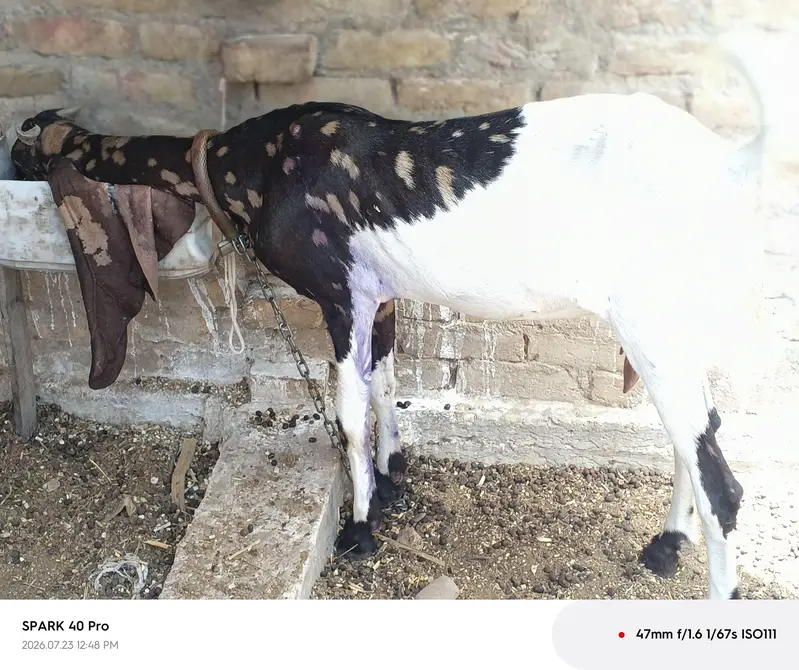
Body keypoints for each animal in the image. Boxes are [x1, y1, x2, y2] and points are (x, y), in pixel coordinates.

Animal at [11, 36, 776, 600]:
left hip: (652, 322)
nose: (12, 168)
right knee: (693, 435)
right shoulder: (379, 296)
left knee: (723, 481)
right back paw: (666, 545)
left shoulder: (339, 292)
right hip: (673, 323)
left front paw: (358, 528)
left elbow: (349, 411)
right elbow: (382, 383)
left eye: (23, 147)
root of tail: (730, 161)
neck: (250, 163)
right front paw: (392, 477)